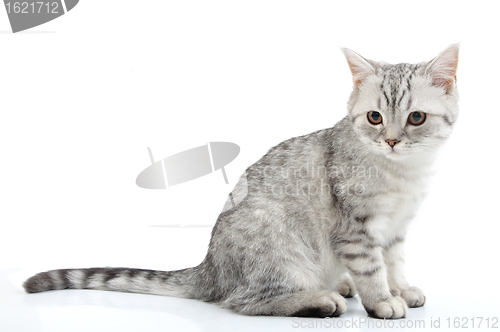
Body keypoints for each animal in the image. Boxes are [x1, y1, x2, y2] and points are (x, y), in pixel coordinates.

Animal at [24, 44, 460, 320]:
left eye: (416, 118)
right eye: (374, 117)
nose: (392, 140)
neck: (403, 174)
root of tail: (209, 268)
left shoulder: (396, 228)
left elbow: (394, 263)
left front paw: (401, 288)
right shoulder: (355, 230)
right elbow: (372, 269)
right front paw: (384, 301)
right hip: (279, 245)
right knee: (244, 301)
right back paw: (320, 299)